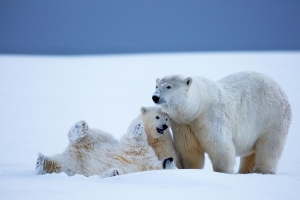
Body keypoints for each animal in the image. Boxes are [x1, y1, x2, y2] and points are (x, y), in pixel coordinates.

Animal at [36, 119, 176, 177]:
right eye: (174, 165)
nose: (170, 159)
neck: (149, 166)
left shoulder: (136, 169)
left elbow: (122, 171)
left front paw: (114, 173)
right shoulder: (145, 156)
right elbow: (136, 145)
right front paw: (139, 128)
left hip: (73, 168)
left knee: (60, 166)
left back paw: (42, 163)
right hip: (100, 139)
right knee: (92, 135)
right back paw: (80, 128)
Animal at [151, 71, 292, 173]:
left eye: (168, 86)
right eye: (156, 86)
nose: (155, 97)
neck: (197, 108)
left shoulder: (210, 116)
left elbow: (219, 145)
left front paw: (223, 172)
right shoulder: (183, 125)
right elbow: (189, 150)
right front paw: (191, 169)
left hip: (272, 116)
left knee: (270, 145)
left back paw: (262, 170)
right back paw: (245, 171)